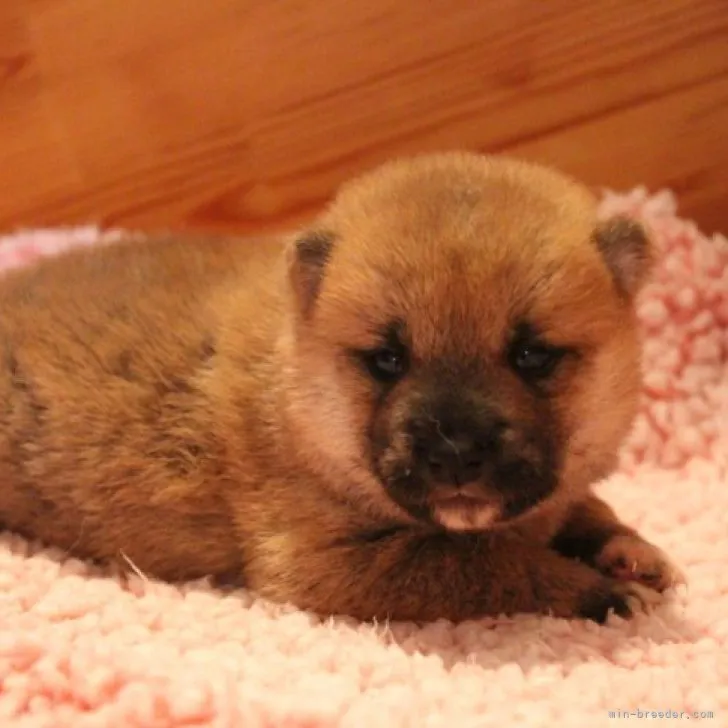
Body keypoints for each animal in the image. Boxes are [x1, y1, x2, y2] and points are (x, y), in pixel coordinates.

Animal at [0, 151, 684, 624]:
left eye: (533, 355)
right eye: (386, 359)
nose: (456, 452)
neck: (296, 404)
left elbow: (584, 509)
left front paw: (631, 549)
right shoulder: (323, 562)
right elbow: (489, 564)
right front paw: (602, 591)